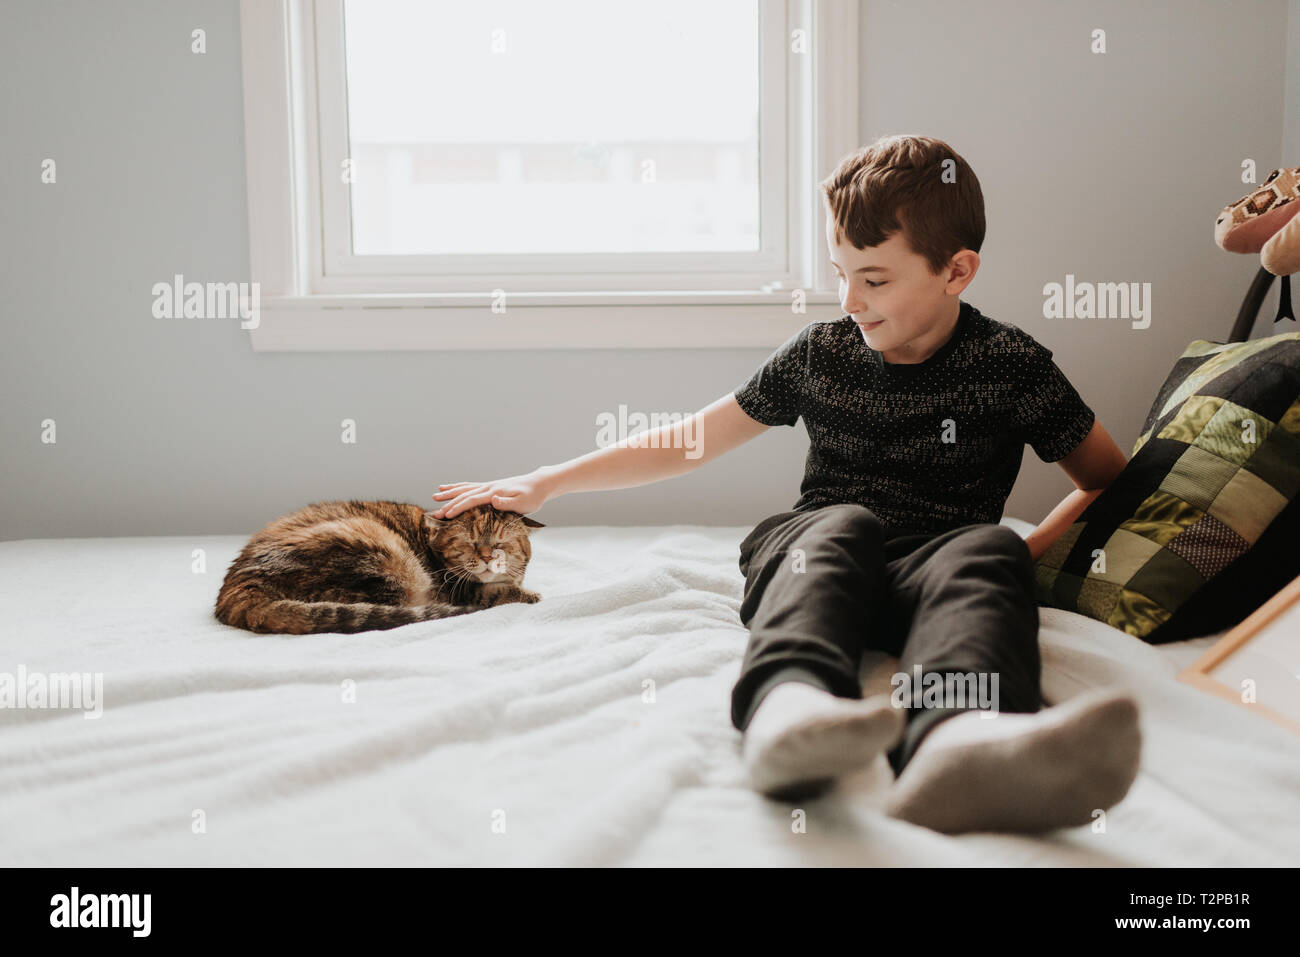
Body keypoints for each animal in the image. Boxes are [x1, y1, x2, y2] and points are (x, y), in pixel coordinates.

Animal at [215, 501, 540, 634]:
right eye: (470, 542)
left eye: (500, 543)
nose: (486, 557)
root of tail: (237, 587)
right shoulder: (459, 590)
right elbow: (498, 592)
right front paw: (530, 595)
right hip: (381, 556)